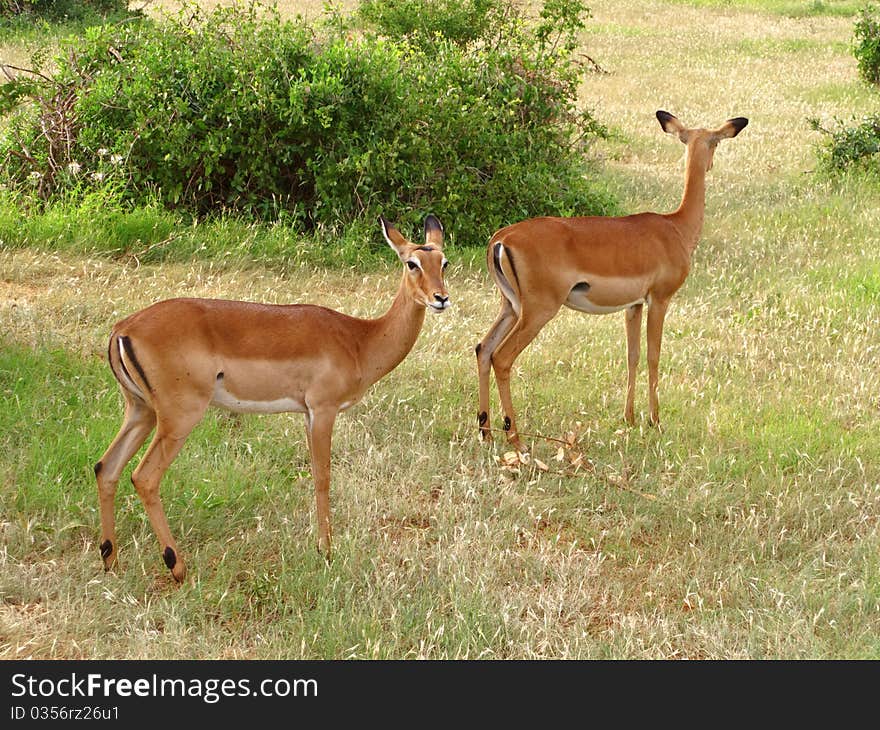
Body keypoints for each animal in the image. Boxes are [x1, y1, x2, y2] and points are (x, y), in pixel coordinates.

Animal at [97, 213, 450, 576]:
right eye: (412, 263)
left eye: (443, 262)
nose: (441, 298)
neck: (359, 340)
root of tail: (123, 329)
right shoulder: (323, 410)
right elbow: (323, 477)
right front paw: (326, 550)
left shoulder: (307, 415)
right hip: (178, 417)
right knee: (144, 476)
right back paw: (177, 566)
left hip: (141, 411)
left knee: (105, 467)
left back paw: (110, 559)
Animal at [478, 111, 744, 450]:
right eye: (716, 141)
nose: (710, 164)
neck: (676, 228)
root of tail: (501, 239)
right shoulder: (660, 299)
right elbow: (654, 356)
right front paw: (655, 421)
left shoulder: (633, 306)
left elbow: (632, 356)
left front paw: (629, 419)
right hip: (538, 311)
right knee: (502, 357)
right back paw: (516, 438)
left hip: (511, 307)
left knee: (483, 349)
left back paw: (485, 431)